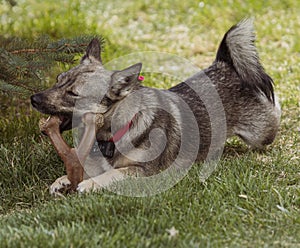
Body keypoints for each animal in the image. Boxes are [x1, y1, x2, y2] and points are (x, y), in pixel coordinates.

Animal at [31, 19, 282, 194]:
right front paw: (62, 180)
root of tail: (224, 64)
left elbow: (113, 174)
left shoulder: (143, 172)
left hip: (260, 135)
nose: (33, 98)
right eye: (58, 80)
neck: (116, 130)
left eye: (73, 94)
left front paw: (91, 184)